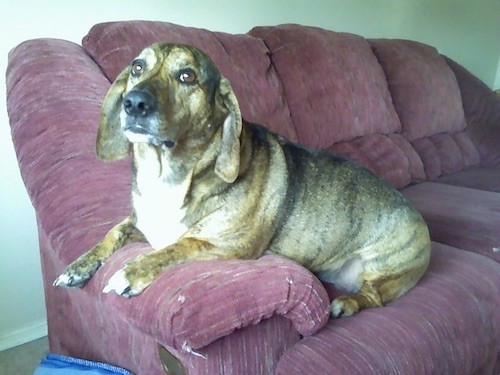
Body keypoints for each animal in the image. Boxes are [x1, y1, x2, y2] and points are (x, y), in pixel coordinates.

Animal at [53, 41, 430, 318]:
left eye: (187, 75)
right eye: (136, 68)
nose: (133, 103)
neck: (170, 176)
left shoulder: (228, 245)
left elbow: (179, 245)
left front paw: (131, 272)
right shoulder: (141, 223)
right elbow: (112, 232)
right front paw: (78, 266)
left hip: (385, 272)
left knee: (374, 297)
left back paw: (346, 303)